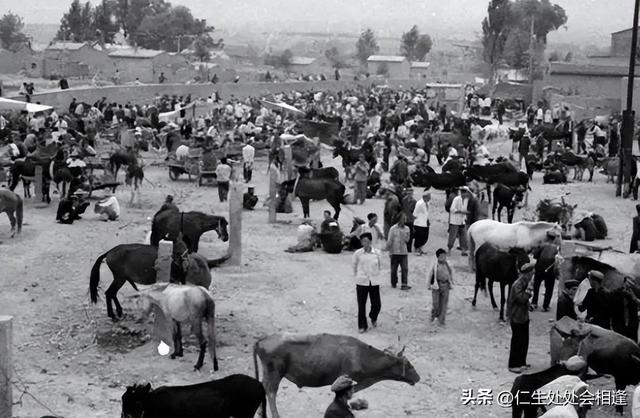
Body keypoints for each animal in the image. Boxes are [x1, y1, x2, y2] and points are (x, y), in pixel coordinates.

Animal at [252, 334, 422, 418]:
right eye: (409, 364)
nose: (418, 378)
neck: (361, 355)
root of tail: (262, 340)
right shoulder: (354, 379)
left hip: (269, 373)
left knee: (263, 386)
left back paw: (261, 412)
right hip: (275, 372)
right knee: (271, 392)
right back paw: (275, 415)